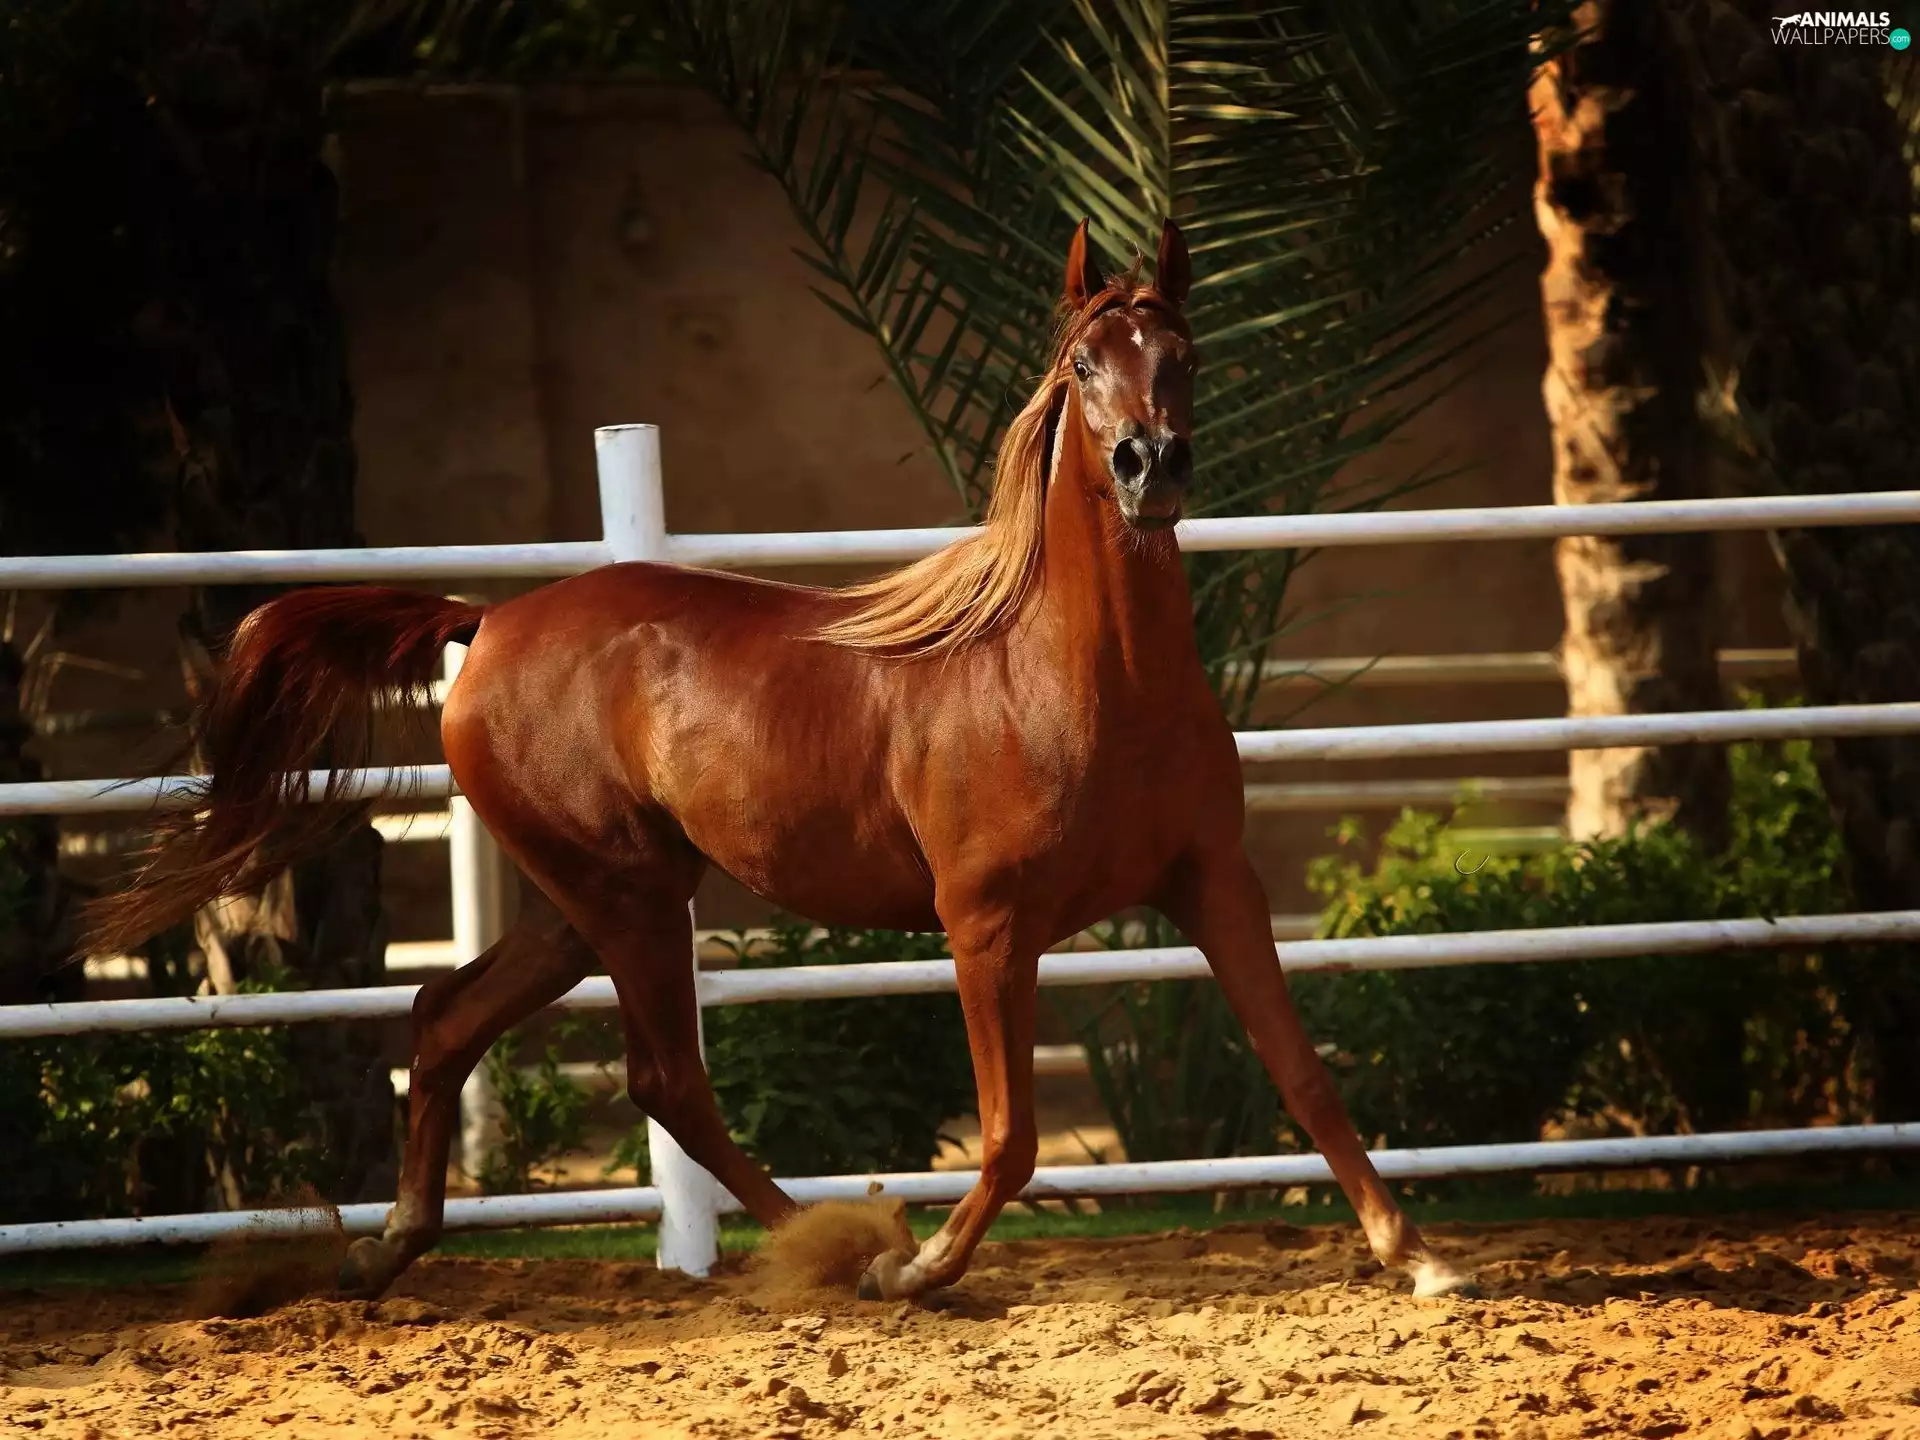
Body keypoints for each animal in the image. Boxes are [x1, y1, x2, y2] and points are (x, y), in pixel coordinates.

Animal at [83, 218, 1478, 1305]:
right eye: (1085, 361)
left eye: (1182, 357)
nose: (1151, 466)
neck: (1074, 684)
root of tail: (490, 622)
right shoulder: (986, 926)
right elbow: (1014, 1136)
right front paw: (922, 1270)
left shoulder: (1213, 883)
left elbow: (1304, 1072)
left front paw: (1420, 1258)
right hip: (631, 897)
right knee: (662, 1076)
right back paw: (835, 1245)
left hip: (585, 904)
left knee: (444, 1020)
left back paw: (384, 1257)